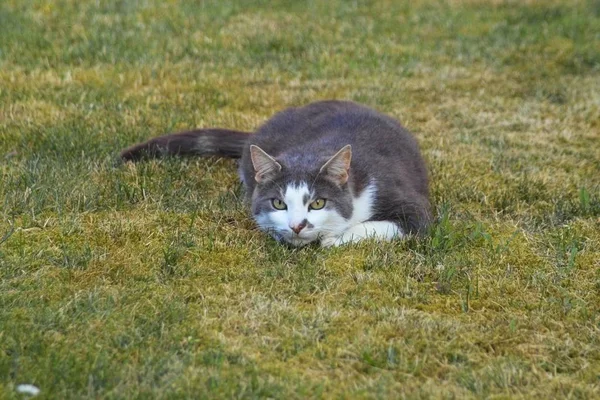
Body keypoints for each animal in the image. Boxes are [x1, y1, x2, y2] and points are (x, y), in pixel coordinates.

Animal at [120, 101, 432, 247]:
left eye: (318, 202)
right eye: (279, 203)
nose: (297, 226)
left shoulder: (405, 200)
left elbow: (384, 224)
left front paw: (334, 238)